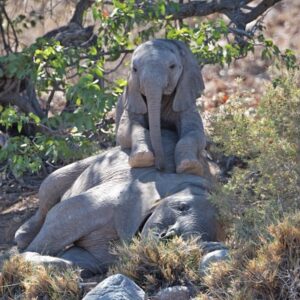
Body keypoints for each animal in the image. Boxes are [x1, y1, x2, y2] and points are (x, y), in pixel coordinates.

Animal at [14, 130, 220, 276]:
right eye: (181, 207)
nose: (168, 236)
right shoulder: (118, 198)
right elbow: (59, 217)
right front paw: (21, 258)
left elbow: (80, 259)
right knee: (51, 187)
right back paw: (22, 237)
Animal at [115, 39, 206, 176]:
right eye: (134, 69)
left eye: (172, 66)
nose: (160, 168)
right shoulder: (132, 102)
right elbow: (126, 131)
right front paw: (141, 159)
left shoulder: (186, 98)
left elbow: (195, 132)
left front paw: (190, 167)